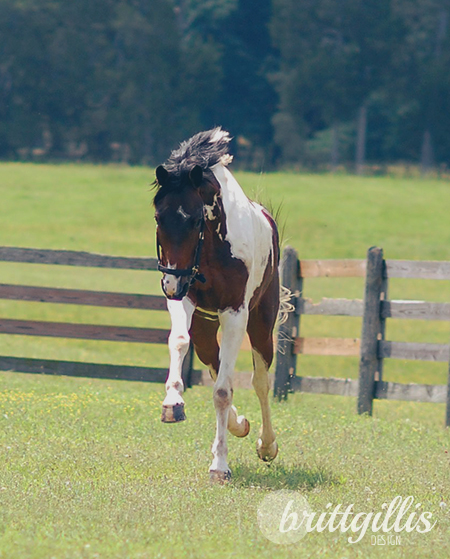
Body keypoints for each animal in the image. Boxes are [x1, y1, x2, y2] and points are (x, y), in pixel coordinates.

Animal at [153, 128, 280, 482]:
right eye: (158, 217)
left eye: (196, 219)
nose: (170, 285)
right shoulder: (185, 300)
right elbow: (179, 341)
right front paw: (172, 402)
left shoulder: (235, 315)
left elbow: (224, 392)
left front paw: (220, 466)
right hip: (206, 328)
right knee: (213, 362)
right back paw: (239, 425)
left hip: (261, 325)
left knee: (261, 382)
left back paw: (266, 445)